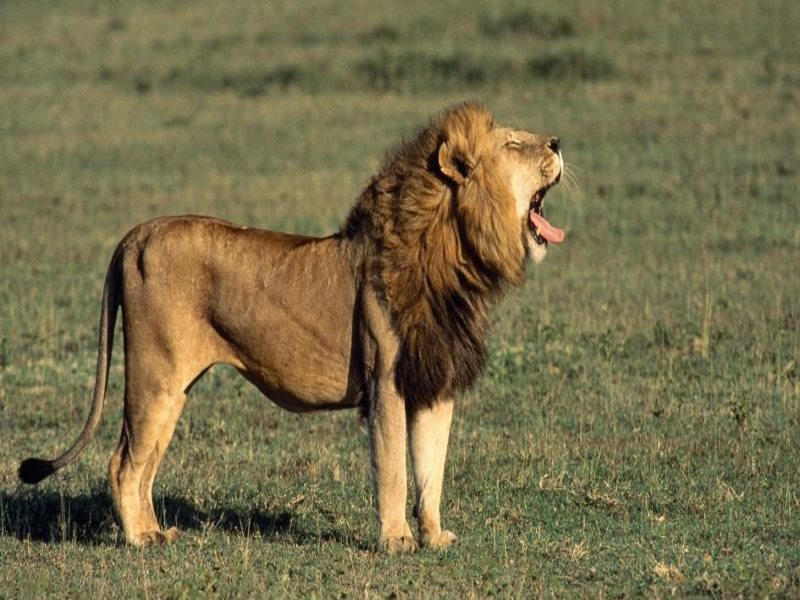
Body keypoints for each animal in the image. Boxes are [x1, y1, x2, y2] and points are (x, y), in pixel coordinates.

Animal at [19, 102, 564, 552]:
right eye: (513, 144)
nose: (559, 142)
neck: (454, 259)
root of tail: (136, 233)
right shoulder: (385, 380)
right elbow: (392, 467)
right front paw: (396, 541)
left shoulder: (433, 380)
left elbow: (432, 468)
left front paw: (434, 536)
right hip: (155, 375)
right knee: (122, 463)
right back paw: (138, 540)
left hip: (174, 387)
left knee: (144, 462)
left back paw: (157, 532)